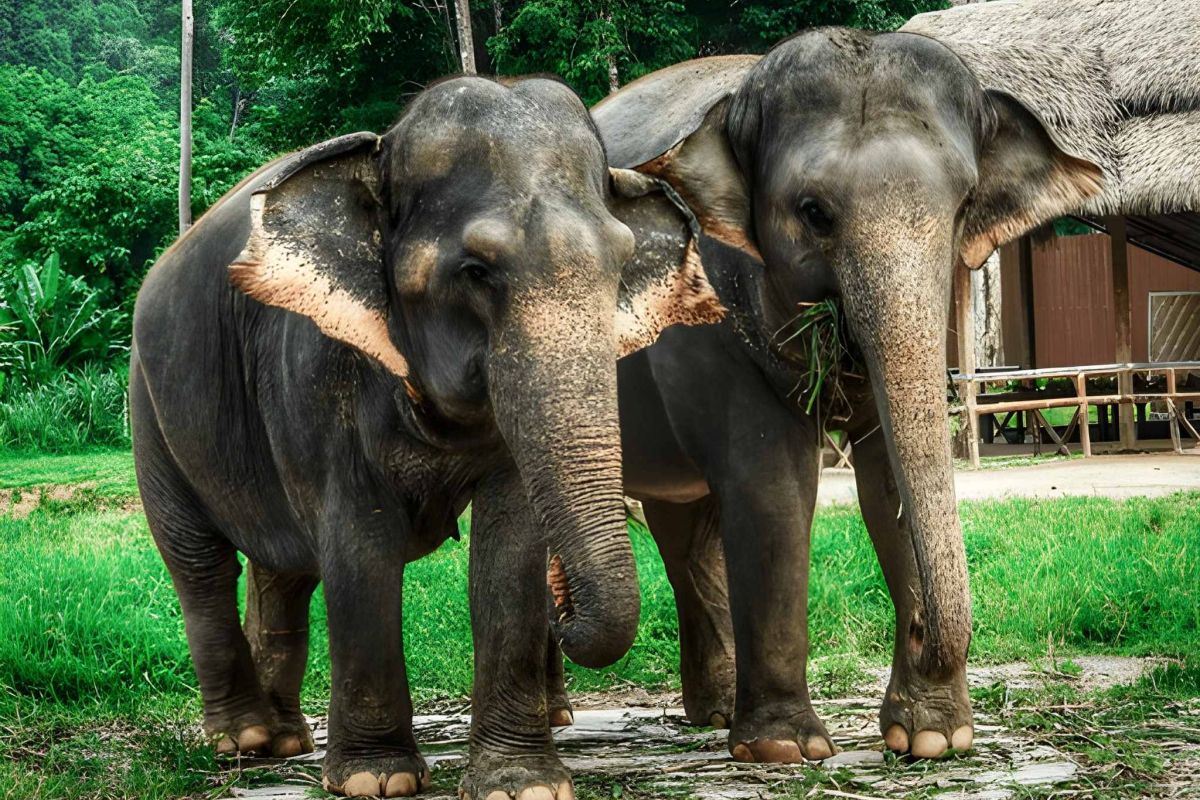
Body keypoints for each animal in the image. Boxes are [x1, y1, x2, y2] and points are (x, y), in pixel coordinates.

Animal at [130, 76, 724, 799]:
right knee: (200, 562)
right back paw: (243, 740)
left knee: (284, 571)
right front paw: (375, 780)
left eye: (621, 264)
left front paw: (521, 784)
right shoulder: (317, 370)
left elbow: (509, 545)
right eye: (475, 270)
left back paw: (285, 741)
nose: (564, 604)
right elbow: (360, 545)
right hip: (148, 409)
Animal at [575, 22, 1128, 763]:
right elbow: (774, 490)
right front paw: (785, 750)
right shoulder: (705, 325)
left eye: (964, 205)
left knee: (684, 525)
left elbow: (888, 482)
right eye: (814, 212)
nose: (922, 634)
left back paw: (714, 715)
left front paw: (932, 739)